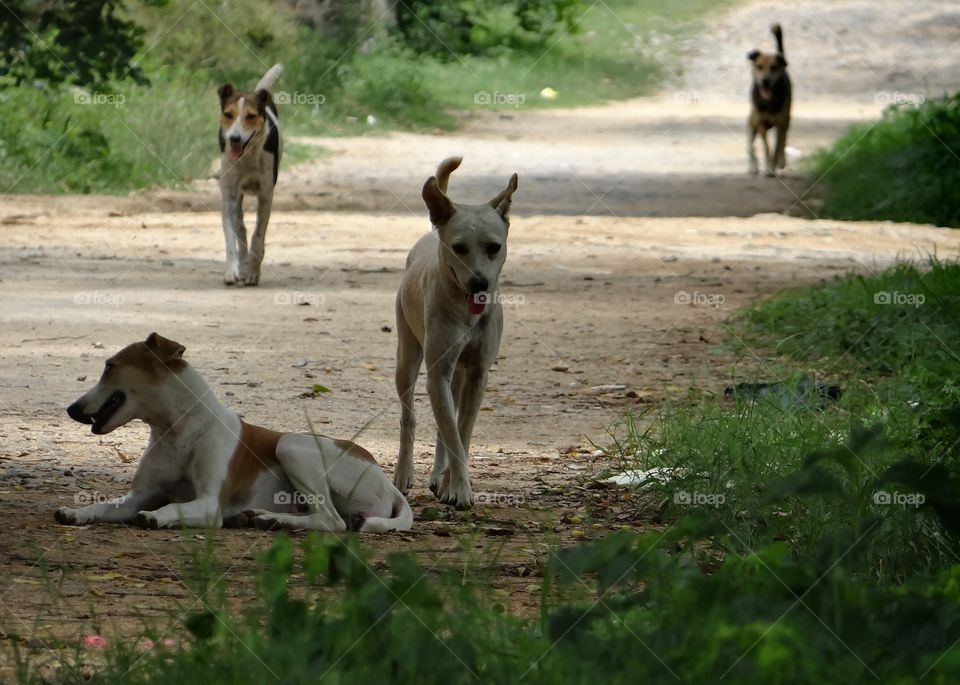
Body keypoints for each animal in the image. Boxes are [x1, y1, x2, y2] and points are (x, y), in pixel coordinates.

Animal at [56, 334, 408, 532]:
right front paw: (76, 512)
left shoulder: (210, 503)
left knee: (332, 520)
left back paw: (274, 520)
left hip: (291, 444)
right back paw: (263, 517)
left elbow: (170, 508)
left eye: (109, 366)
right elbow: (105, 506)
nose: (71, 409)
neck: (179, 428)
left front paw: (156, 517)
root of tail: (389, 484)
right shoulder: (139, 496)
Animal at [216, 64, 280, 286]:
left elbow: (258, 235)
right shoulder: (228, 195)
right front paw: (232, 271)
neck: (248, 156)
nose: (234, 138)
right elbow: (230, 238)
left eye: (250, 116)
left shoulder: (266, 195)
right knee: (240, 228)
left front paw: (253, 271)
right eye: (228, 114)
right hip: (235, 197)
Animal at [392, 156, 516, 508]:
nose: (479, 283)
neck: (465, 312)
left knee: (444, 424)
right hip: (407, 356)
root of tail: (432, 232)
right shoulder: (438, 372)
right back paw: (404, 473)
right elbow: (451, 433)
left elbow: (461, 432)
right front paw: (460, 489)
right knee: (410, 416)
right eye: (458, 248)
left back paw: (438, 477)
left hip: (458, 374)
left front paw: (451, 484)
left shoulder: (476, 373)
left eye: (494, 247)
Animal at [748, 24, 792, 176]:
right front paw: (768, 166)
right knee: (750, 146)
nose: (765, 81)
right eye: (759, 66)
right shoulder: (760, 124)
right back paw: (753, 167)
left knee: (783, 141)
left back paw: (782, 162)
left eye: (773, 67)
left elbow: (778, 146)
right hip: (752, 123)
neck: (769, 101)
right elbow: (767, 147)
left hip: (786, 120)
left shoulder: (781, 124)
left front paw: (773, 167)